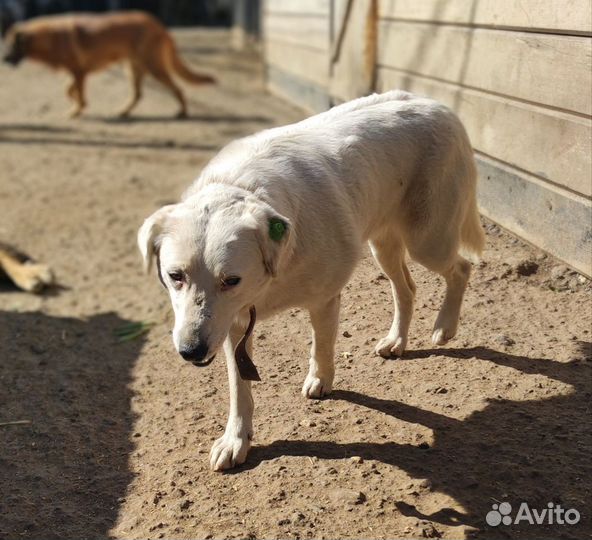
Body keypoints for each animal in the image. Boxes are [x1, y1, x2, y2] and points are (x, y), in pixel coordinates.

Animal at [2, 10, 215, 118]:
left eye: (11, 45)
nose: (3, 59)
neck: (51, 37)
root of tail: (157, 24)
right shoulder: (77, 72)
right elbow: (69, 90)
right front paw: (76, 103)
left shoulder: (79, 72)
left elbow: (76, 92)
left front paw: (77, 109)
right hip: (133, 68)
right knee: (138, 94)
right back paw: (123, 112)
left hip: (153, 67)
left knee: (178, 89)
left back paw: (182, 112)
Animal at [139, 90, 486, 470]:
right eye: (175, 276)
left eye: (231, 280)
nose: (191, 351)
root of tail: (434, 103)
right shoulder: (232, 325)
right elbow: (238, 388)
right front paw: (236, 440)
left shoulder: (323, 300)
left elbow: (321, 347)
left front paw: (320, 381)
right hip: (384, 245)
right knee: (407, 288)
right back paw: (396, 340)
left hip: (428, 240)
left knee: (462, 268)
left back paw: (445, 327)